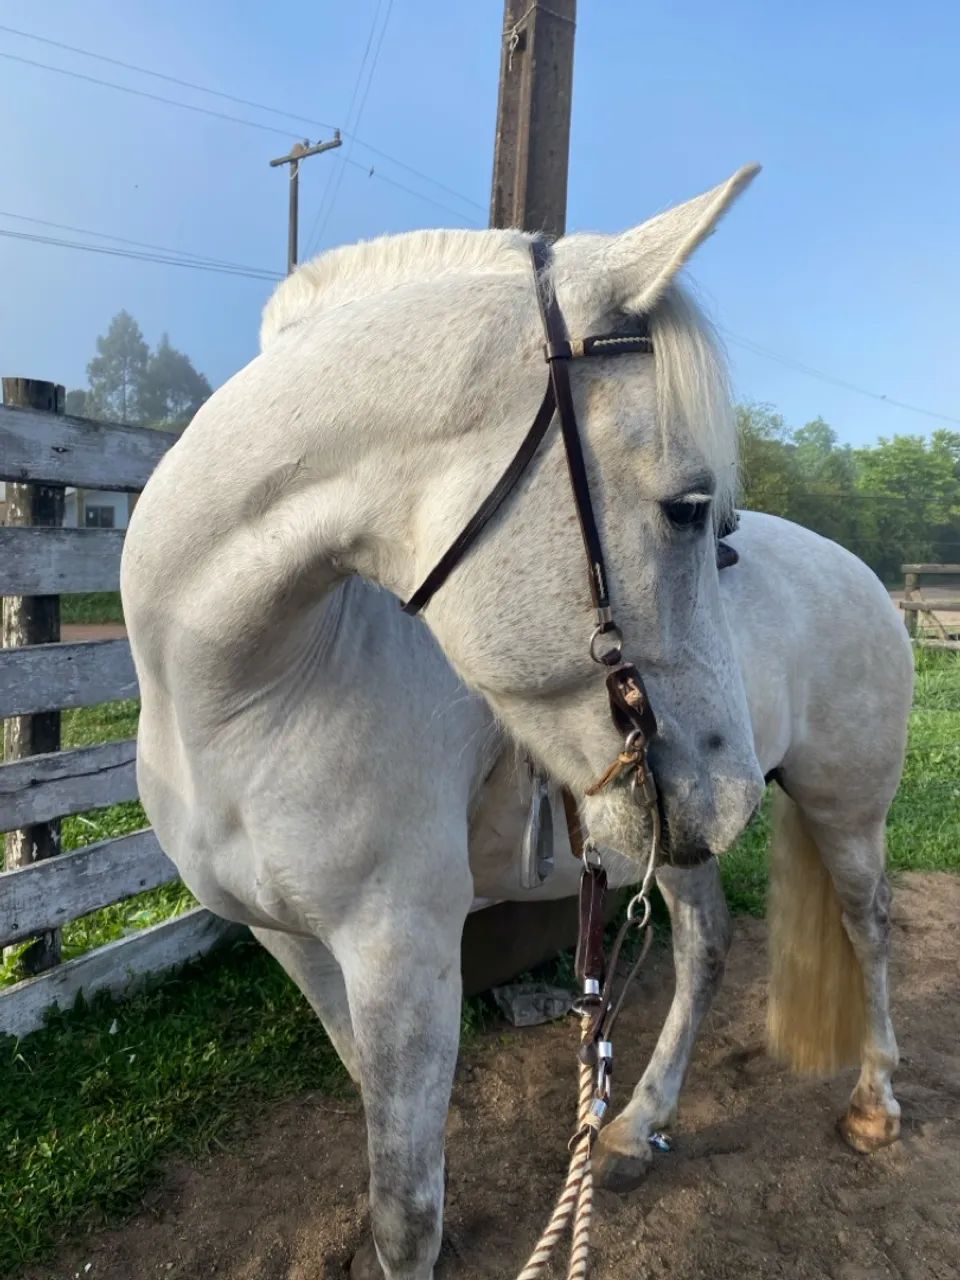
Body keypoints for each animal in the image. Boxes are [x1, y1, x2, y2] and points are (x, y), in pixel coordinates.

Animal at [120, 165, 913, 1280]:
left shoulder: (403, 949)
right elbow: (381, 1129)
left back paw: (875, 1104)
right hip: (664, 842)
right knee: (706, 945)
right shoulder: (298, 947)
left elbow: (405, 1210)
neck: (248, 695)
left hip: (841, 810)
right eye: (687, 507)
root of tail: (863, 572)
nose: (729, 785)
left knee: (869, 926)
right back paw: (634, 1127)